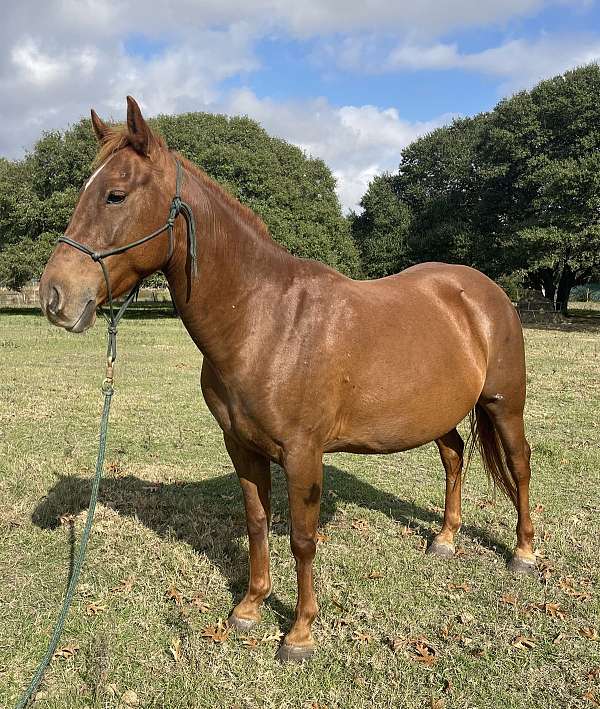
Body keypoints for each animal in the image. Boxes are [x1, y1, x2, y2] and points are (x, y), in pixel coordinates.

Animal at [39, 96, 536, 662]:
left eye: (115, 195)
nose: (55, 295)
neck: (266, 321)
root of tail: (485, 292)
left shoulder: (302, 453)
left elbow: (301, 537)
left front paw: (300, 632)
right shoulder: (241, 445)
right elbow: (257, 522)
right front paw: (249, 608)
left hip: (504, 404)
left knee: (519, 466)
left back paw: (523, 553)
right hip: (437, 412)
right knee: (454, 458)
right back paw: (445, 540)